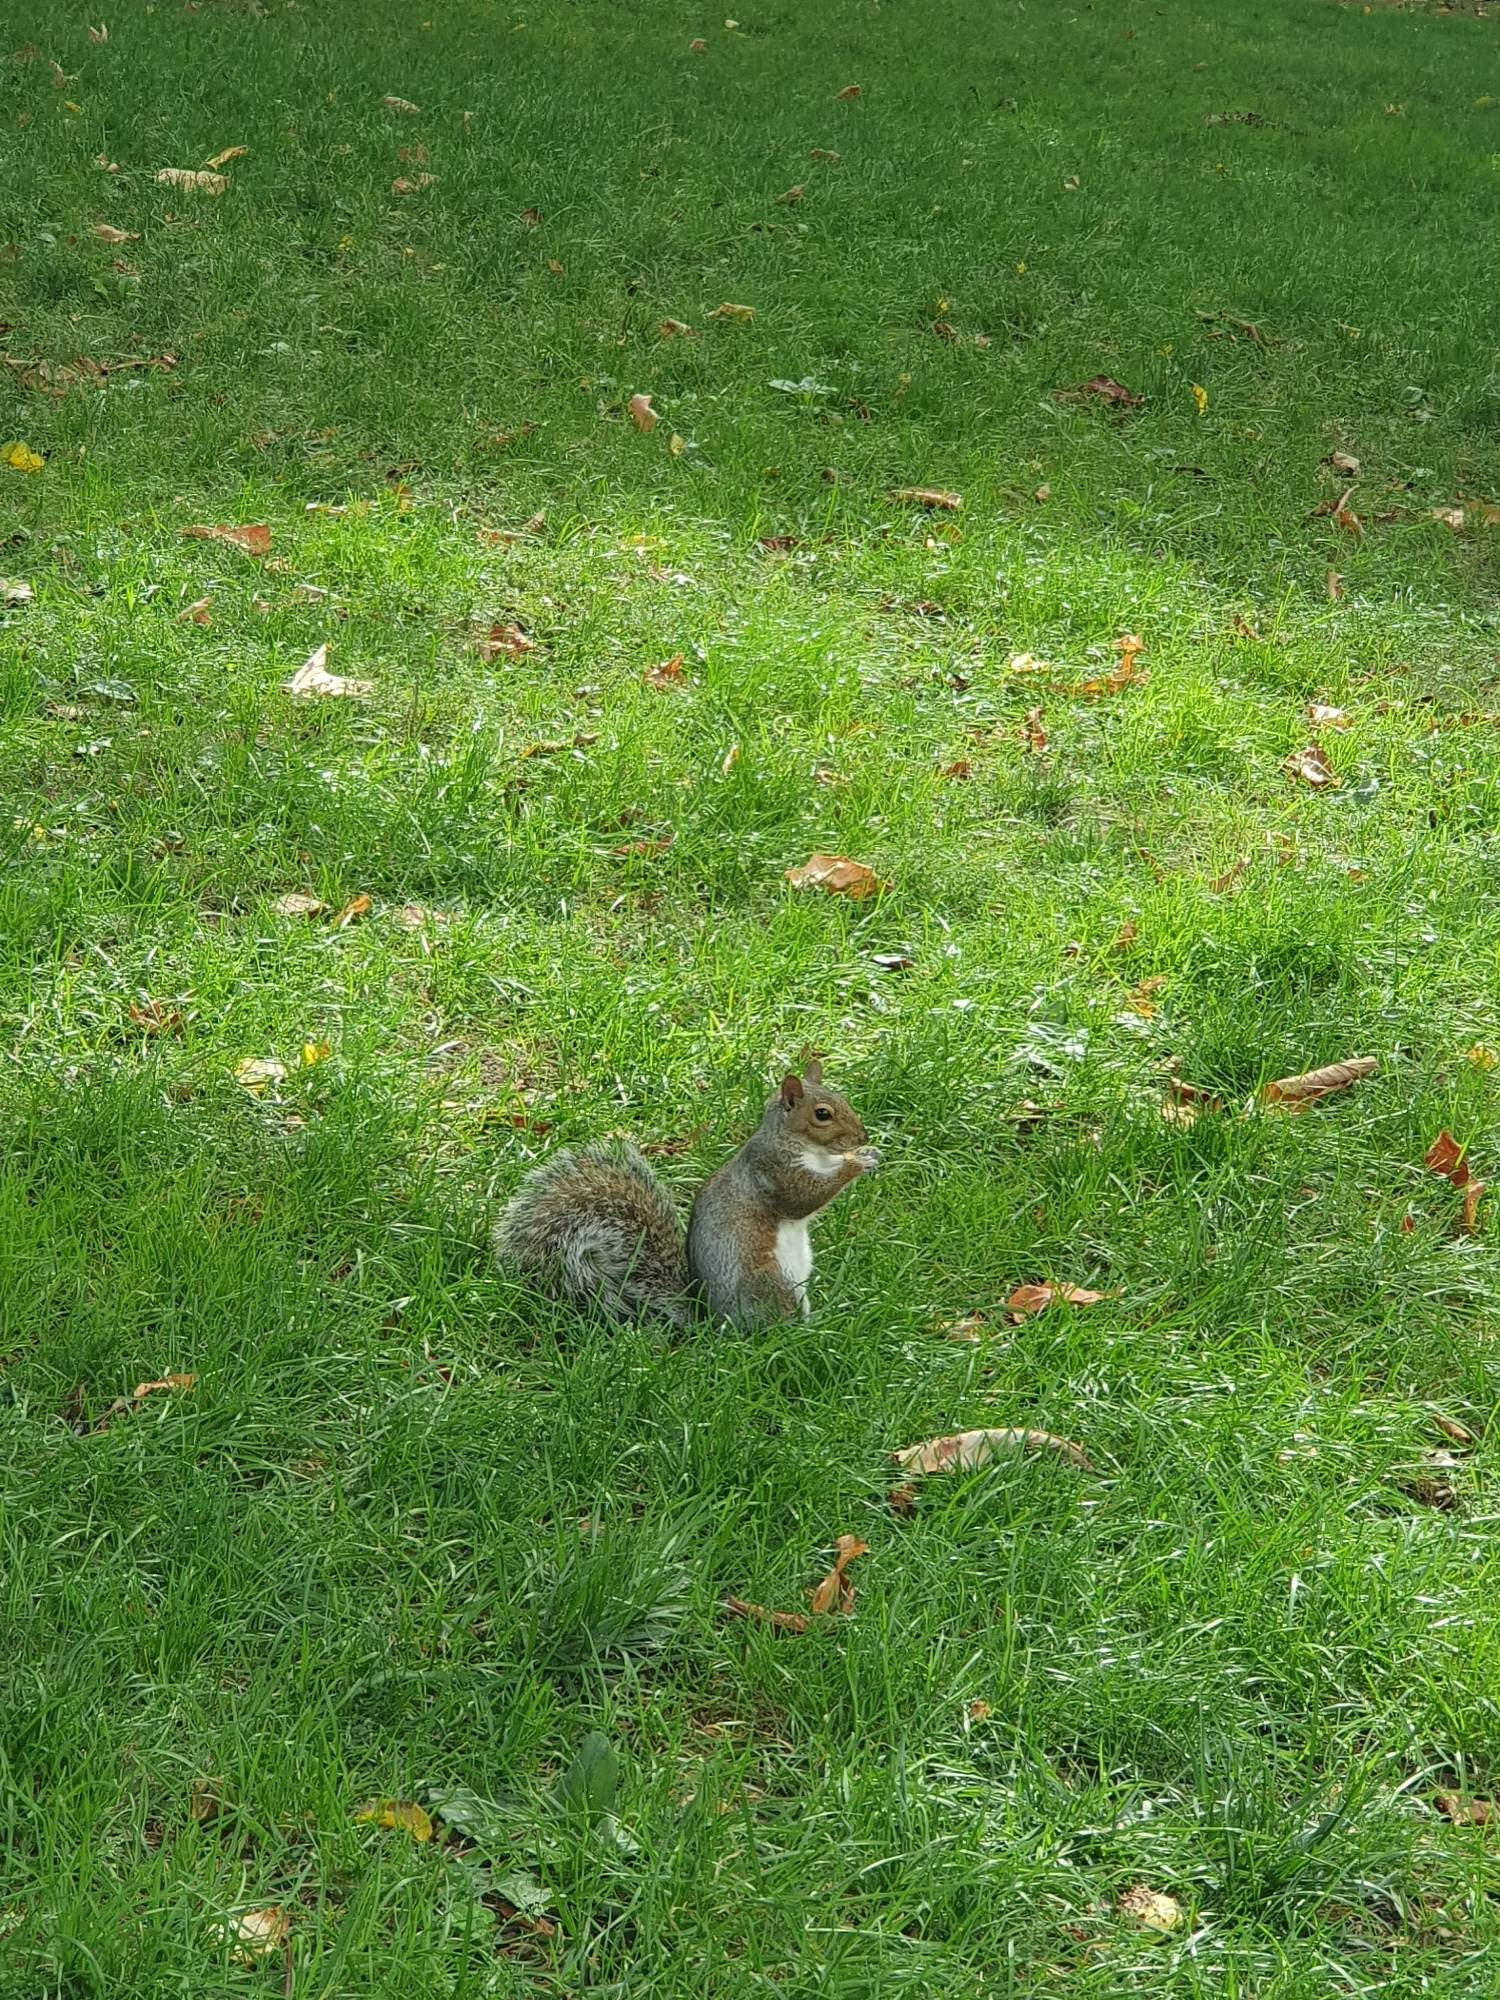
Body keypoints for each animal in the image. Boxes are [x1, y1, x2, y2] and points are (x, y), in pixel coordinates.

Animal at [500, 1064, 880, 1328]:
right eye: (822, 1114)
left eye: (844, 1100)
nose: (862, 1136)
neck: (810, 1151)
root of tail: (715, 1324)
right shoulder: (772, 1173)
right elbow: (802, 1197)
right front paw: (855, 1163)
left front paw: (867, 1154)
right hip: (771, 1284)